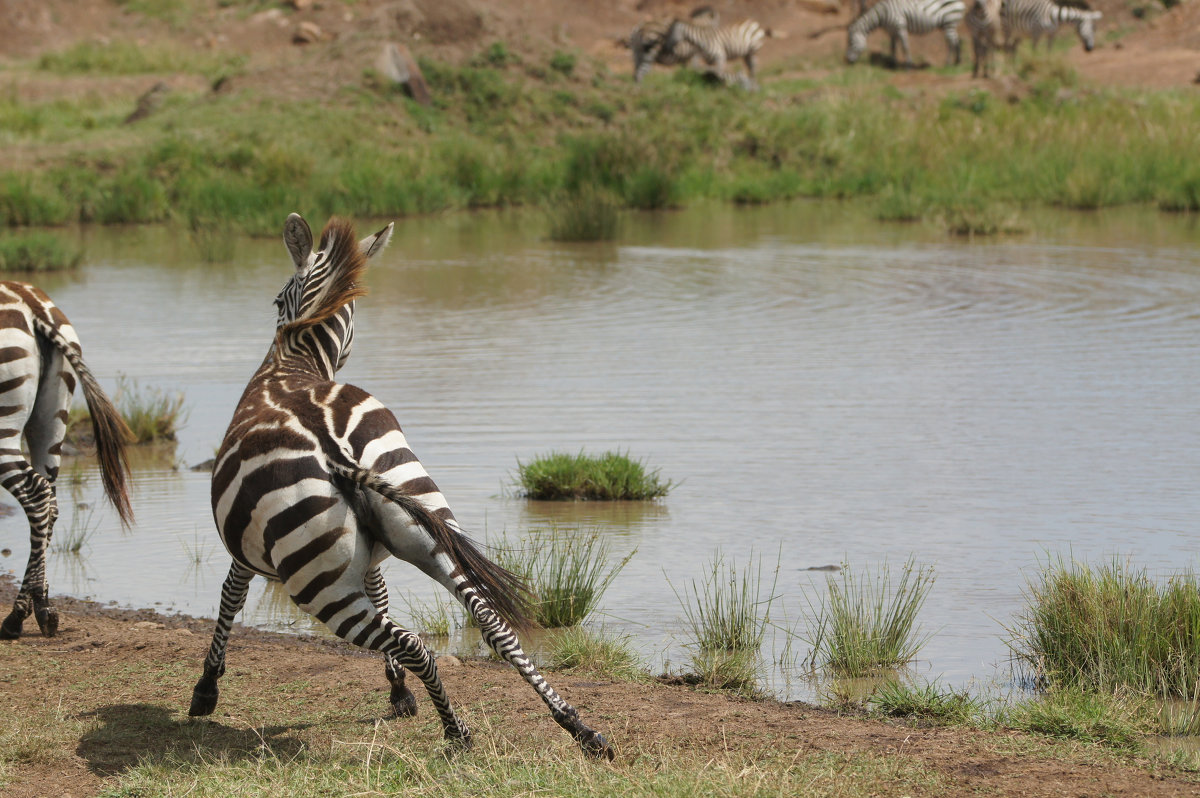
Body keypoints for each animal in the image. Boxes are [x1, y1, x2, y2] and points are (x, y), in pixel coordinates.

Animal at [0, 279, 133, 643]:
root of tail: (29, 301)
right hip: (51, 420)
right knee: (50, 502)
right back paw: (38, 609)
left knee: (37, 496)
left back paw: (23, 615)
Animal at [194, 211, 619, 758]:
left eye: (275, 300)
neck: (291, 364)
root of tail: (331, 443)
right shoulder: (373, 553)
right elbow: (382, 592)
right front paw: (397, 691)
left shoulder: (245, 550)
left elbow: (230, 596)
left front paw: (206, 689)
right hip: (425, 520)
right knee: (492, 624)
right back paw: (579, 726)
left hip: (317, 583)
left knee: (415, 643)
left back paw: (458, 733)